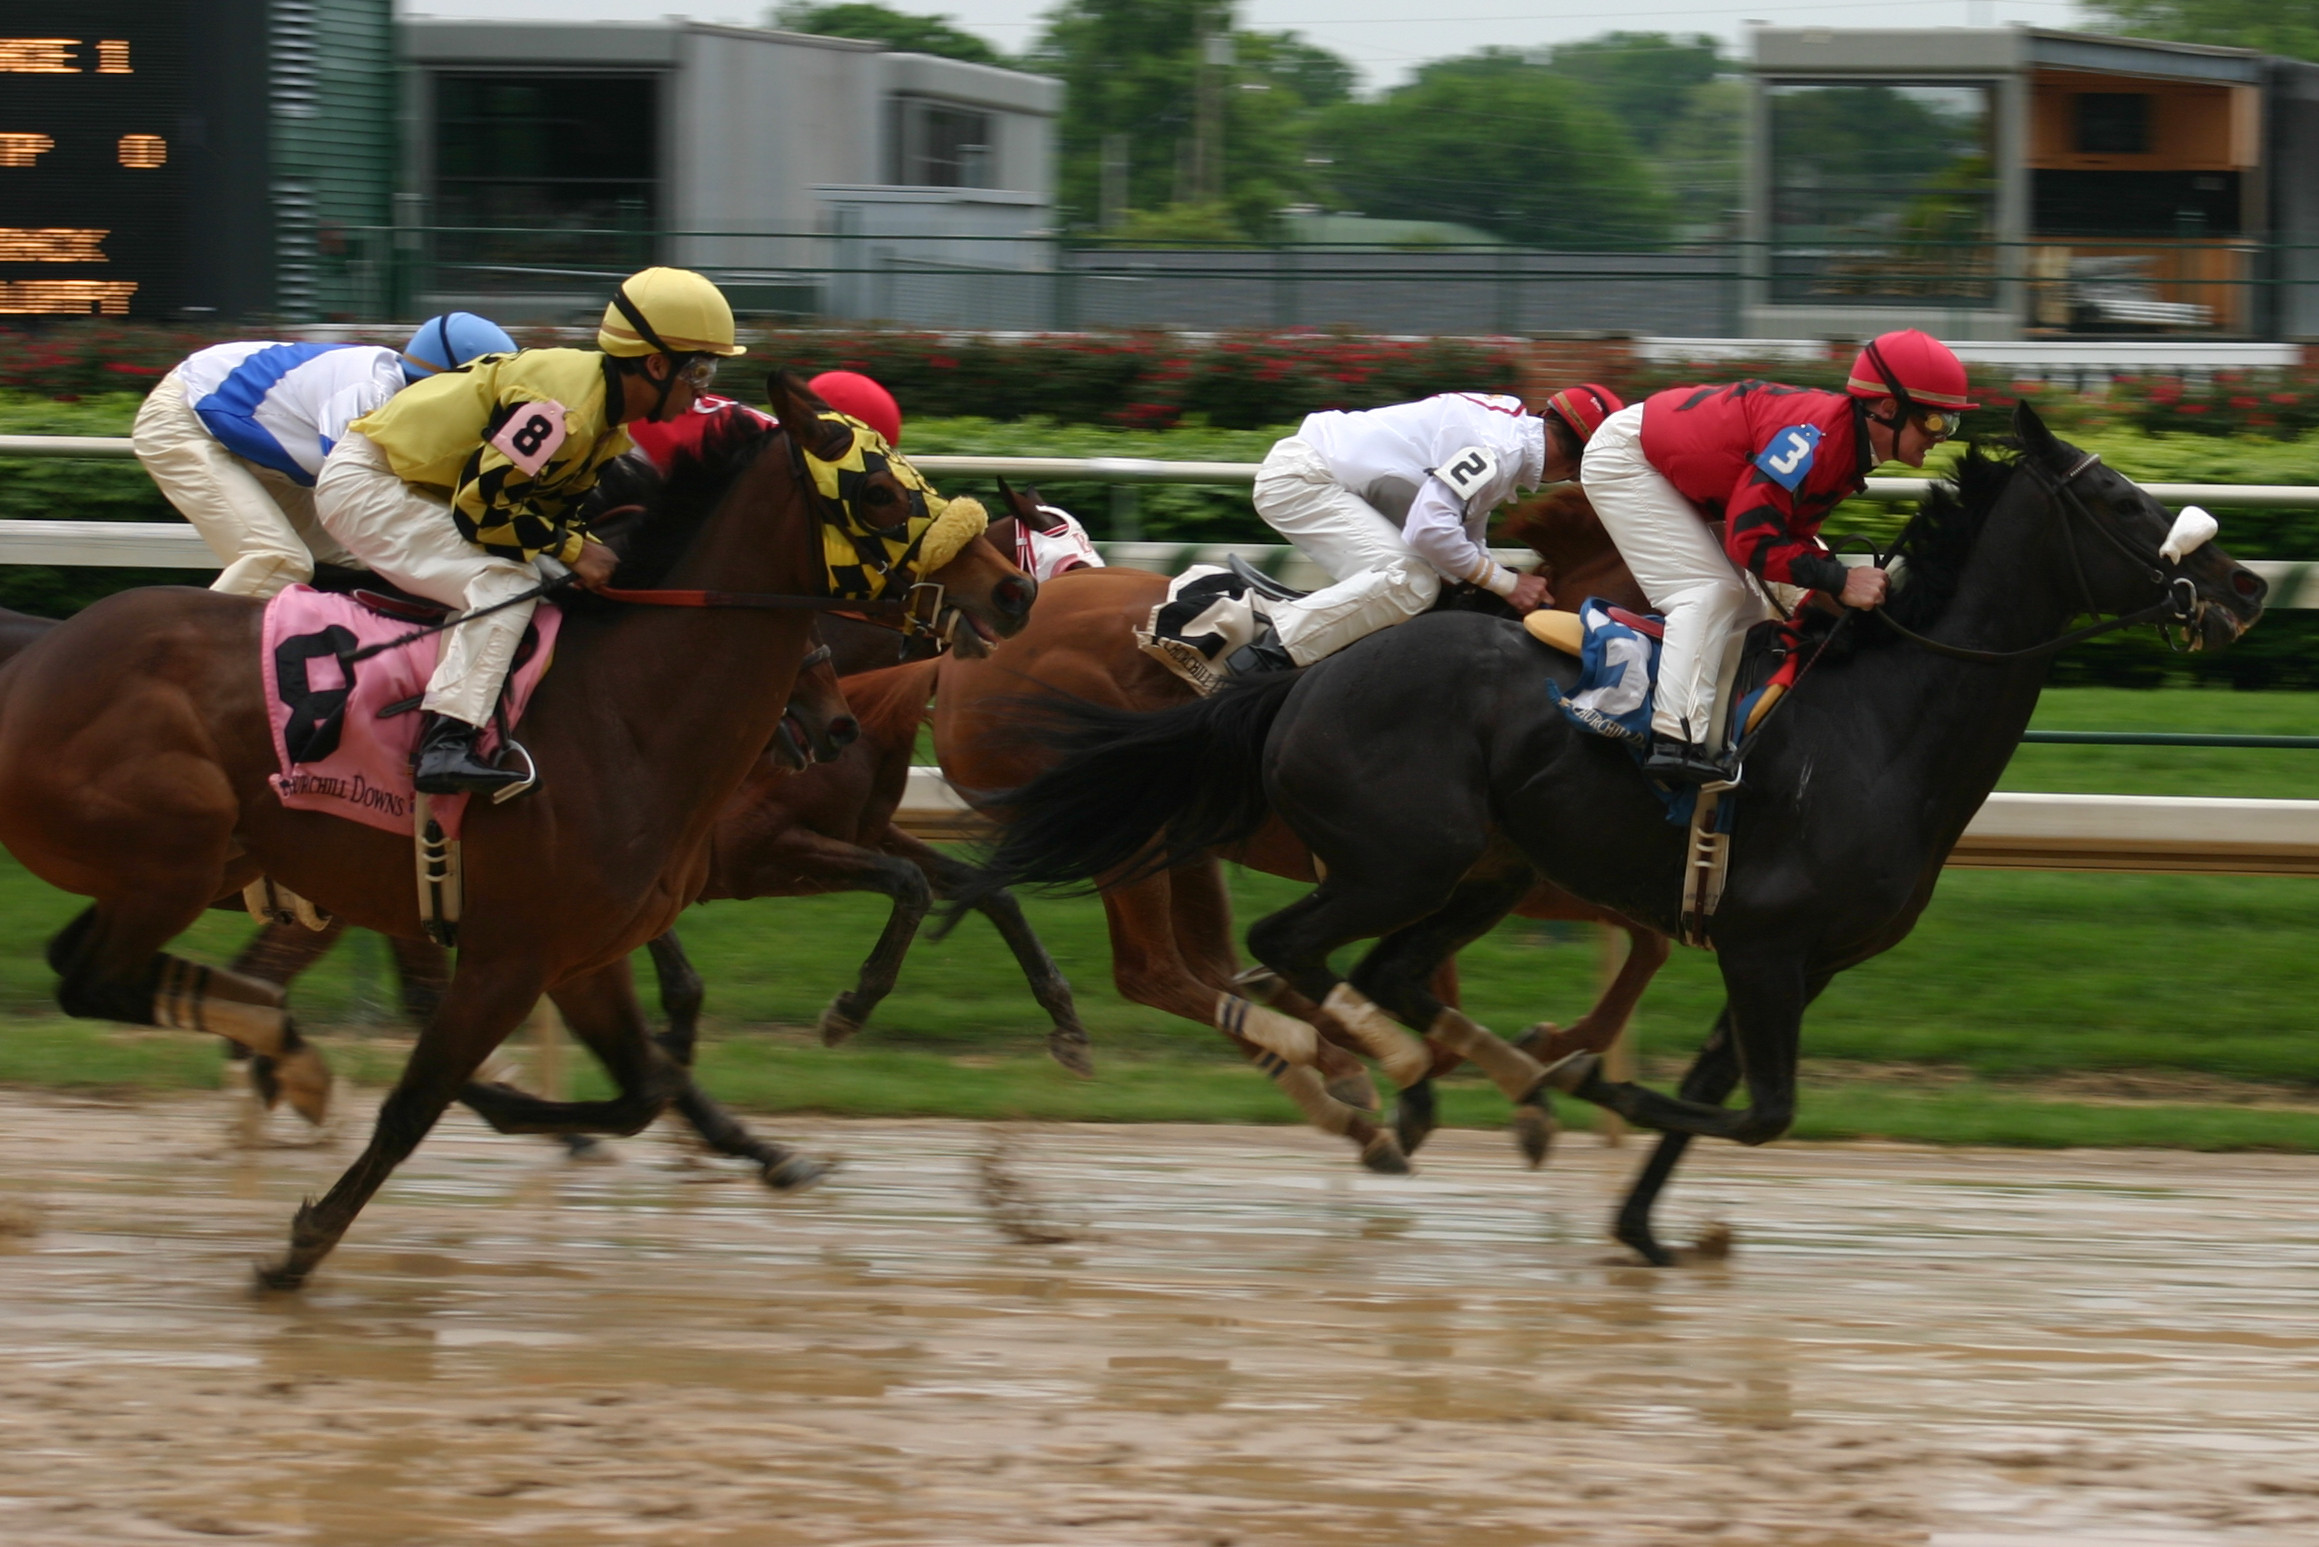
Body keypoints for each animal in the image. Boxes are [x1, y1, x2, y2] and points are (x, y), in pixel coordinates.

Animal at [0, 368, 1038, 1289]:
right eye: (876, 490)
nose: (1012, 591)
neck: (624, 707)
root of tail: (38, 652)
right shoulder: (510, 955)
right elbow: (417, 1101)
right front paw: (303, 1245)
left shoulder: (579, 956)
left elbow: (642, 1085)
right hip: (174, 854)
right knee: (94, 977)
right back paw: (280, 1049)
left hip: (179, 868)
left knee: (103, 968)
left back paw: (284, 1051)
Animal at [932, 484, 1678, 1173]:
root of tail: (960, 669)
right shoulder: (1497, 869)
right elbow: (1635, 945)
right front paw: (1532, 1061)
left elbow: (1643, 942)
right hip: (1122, 825)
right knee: (1154, 972)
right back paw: (1331, 1062)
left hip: (1179, 837)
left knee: (1209, 967)